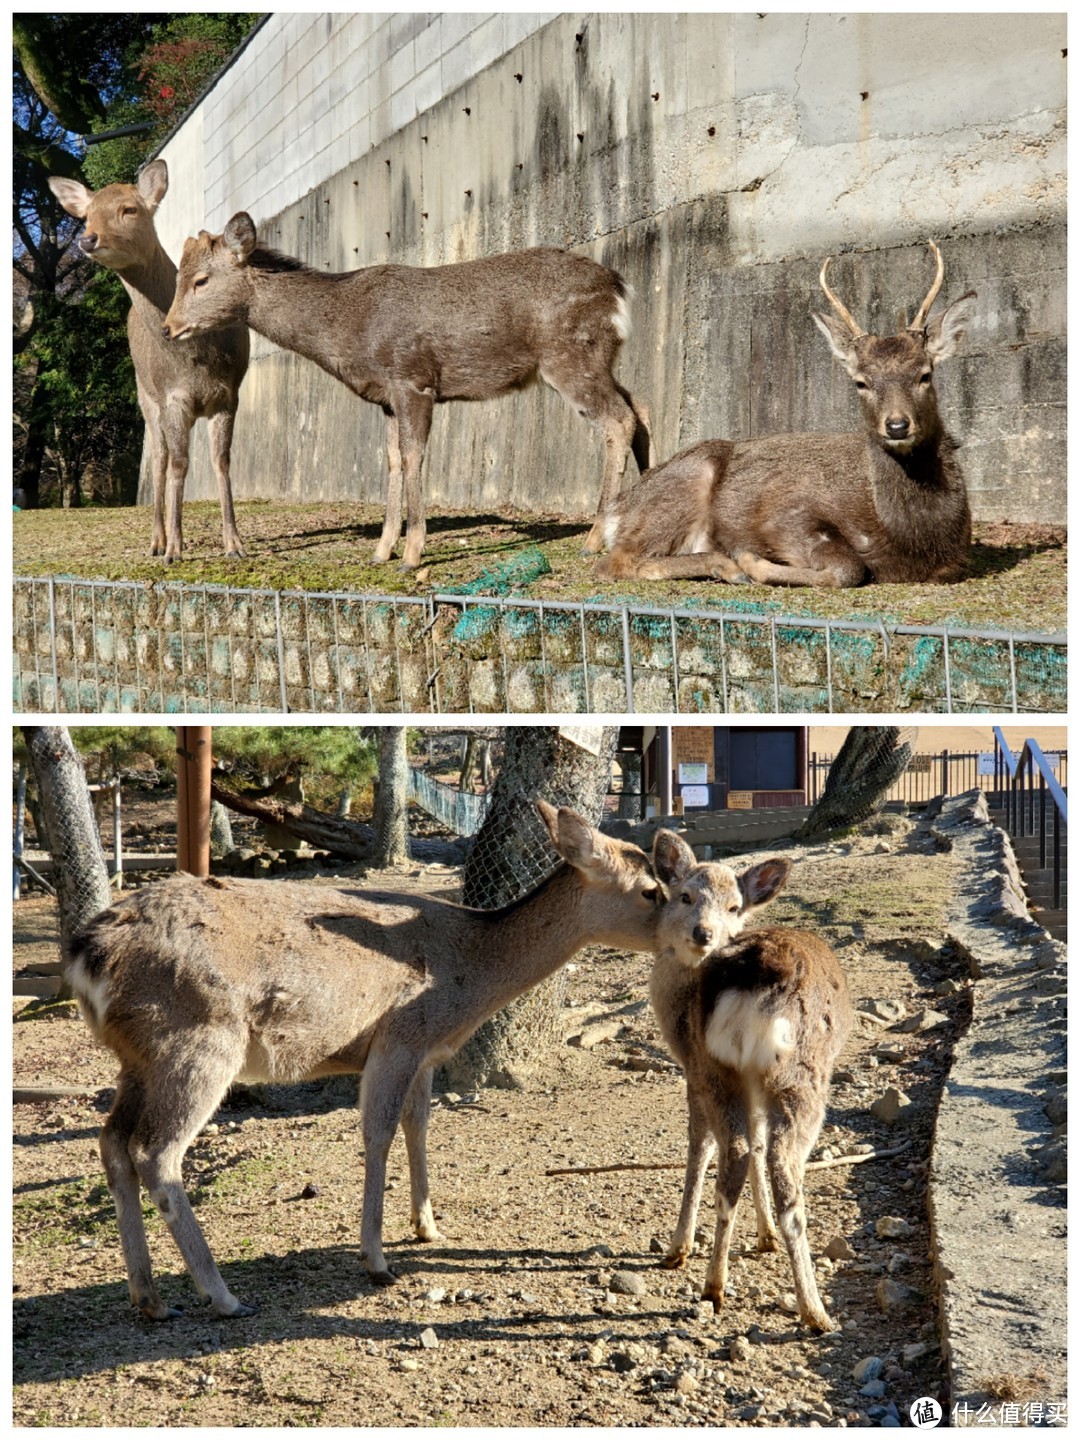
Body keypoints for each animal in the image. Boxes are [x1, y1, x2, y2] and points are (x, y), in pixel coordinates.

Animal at [47, 160, 249, 558]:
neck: (196, 358)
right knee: (160, 460)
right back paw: (159, 540)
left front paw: (234, 543)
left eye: (129, 209)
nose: (87, 239)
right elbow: (177, 465)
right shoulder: (171, 396)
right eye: (87, 216)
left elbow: (221, 461)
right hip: (145, 397)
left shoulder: (229, 392)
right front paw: (173, 550)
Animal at [65, 800, 668, 1319]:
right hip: (198, 1043)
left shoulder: (426, 1052)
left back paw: (148, 1297)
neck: (469, 973)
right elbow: (377, 1133)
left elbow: (418, 1125)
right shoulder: (397, 1037)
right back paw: (223, 1295)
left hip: (137, 1057)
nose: (688, 931)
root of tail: (86, 955)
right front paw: (377, 1259)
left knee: (111, 1142)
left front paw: (428, 1226)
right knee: (156, 1152)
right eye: (651, 890)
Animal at [160, 216, 650, 570]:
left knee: (618, 418)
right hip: (599, 359)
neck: (346, 331)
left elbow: (414, 456)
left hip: (570, 356)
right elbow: (393, 461)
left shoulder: (412, 380)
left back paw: (594, 537)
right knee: (640, 407)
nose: (167, 328)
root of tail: (619, 289)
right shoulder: (385, 398)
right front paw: (381, 551)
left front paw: (412, 554)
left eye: (201, 280)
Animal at [648, 840, 858, 1330]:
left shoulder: (701, 1069)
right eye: (685, 896)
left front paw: (754, 1238)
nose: (704, 933)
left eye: (734, 906)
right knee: (776, 1167)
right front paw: (681, 1246)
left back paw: (716, 1287)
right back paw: (813, 1309)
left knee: (741, 1154)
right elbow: (711, 1147)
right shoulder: (699, 1071)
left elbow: (720, 1145)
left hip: (727, 1071)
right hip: (796, 1079)